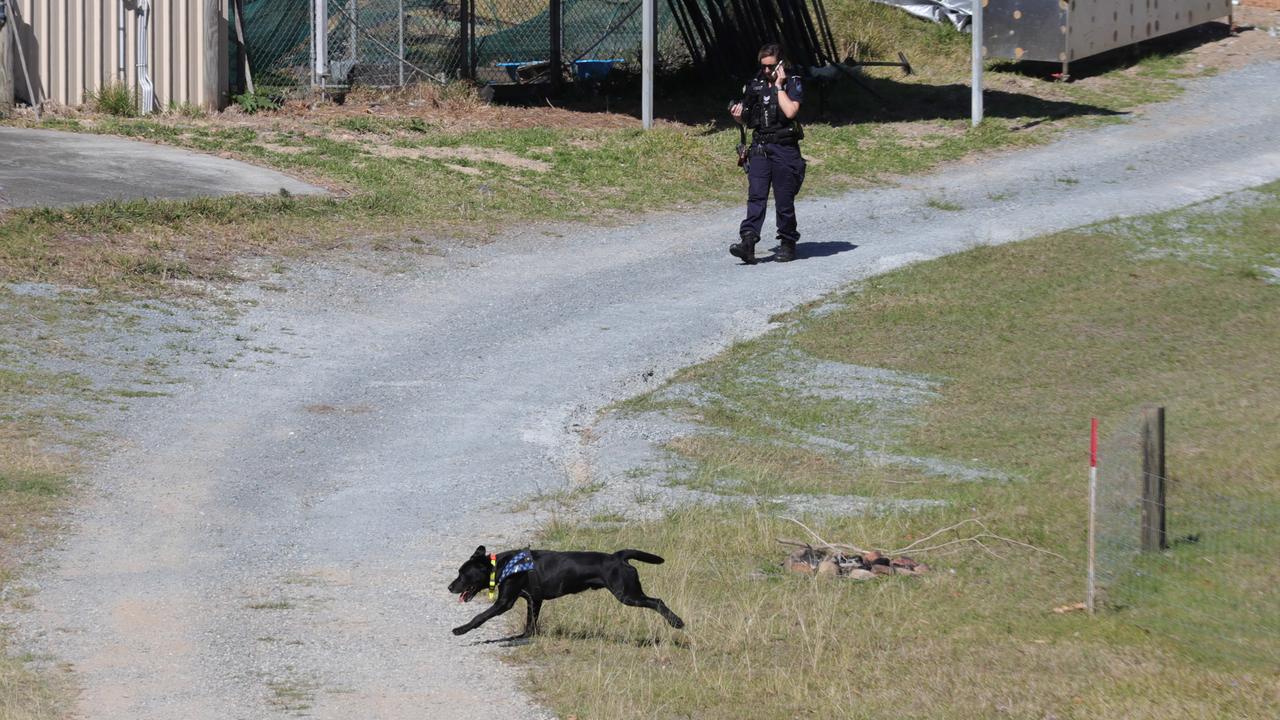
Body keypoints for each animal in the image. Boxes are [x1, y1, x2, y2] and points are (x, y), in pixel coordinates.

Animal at [448, 540, 686, 635]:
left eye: (462, 574)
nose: (450, 587)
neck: (504, 566)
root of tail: (618, 557)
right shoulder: (534, 600)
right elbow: (530, 622)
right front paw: (525, 637)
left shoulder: (504, 602)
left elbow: (480, 616)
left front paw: (460, 629)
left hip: (627, 594)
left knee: (657, 601)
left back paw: (677, 622)